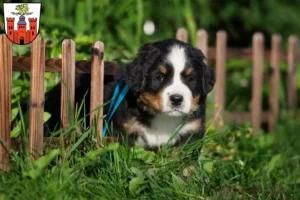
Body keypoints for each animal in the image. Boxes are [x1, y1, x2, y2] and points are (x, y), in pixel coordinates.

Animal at [43, 38, 214, 150]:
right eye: (159, 77)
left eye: (190, 79)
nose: (177, 99)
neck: (163, 118)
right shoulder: (121, 130)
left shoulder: (192, 131)